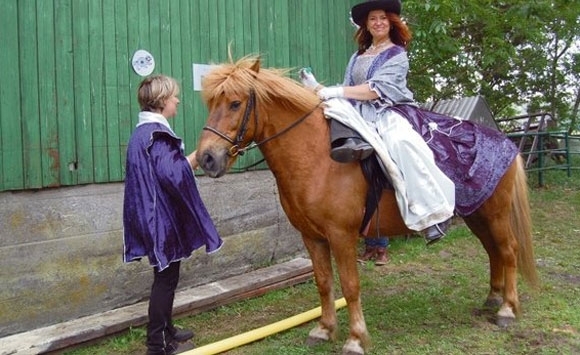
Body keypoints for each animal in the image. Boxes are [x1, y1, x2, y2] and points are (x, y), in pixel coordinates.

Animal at [196, 56, 540, 355]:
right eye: (211, 104)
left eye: (235, 103)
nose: (207, 158)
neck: (318, 157)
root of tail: (505, 140)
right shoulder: (312, 237)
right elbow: (323, 283)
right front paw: (324, 329)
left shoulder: (341, 235)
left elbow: (350, 286)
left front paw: (355, 339)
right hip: (477, 216)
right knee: (493, 251)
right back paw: (493, 298)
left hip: (495, 214)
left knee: (508, 250)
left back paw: (507, 310)